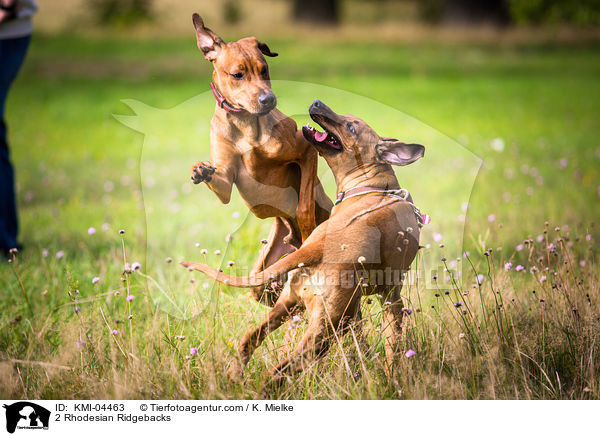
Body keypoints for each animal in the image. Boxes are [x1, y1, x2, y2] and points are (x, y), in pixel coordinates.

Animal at [183, 100, 426, 380]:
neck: (375, 186)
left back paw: (235, 377)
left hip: (289, 306)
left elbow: (372, 343)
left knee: (249, 342)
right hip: (322, 331)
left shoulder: (366, 305)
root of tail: (315, 249)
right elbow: (392, 346)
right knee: (278, 372)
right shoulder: (391, 297)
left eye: (351, 126)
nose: (316, 103)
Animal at [189, 14, 332, 306]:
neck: (245, 122)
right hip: (264, 274)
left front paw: (308, 226)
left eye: (264, 69)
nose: (268, 99)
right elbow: (219, 182)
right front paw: (200, 170)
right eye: (237, 74)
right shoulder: (225, 183)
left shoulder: (306, 151)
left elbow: (303, 205)